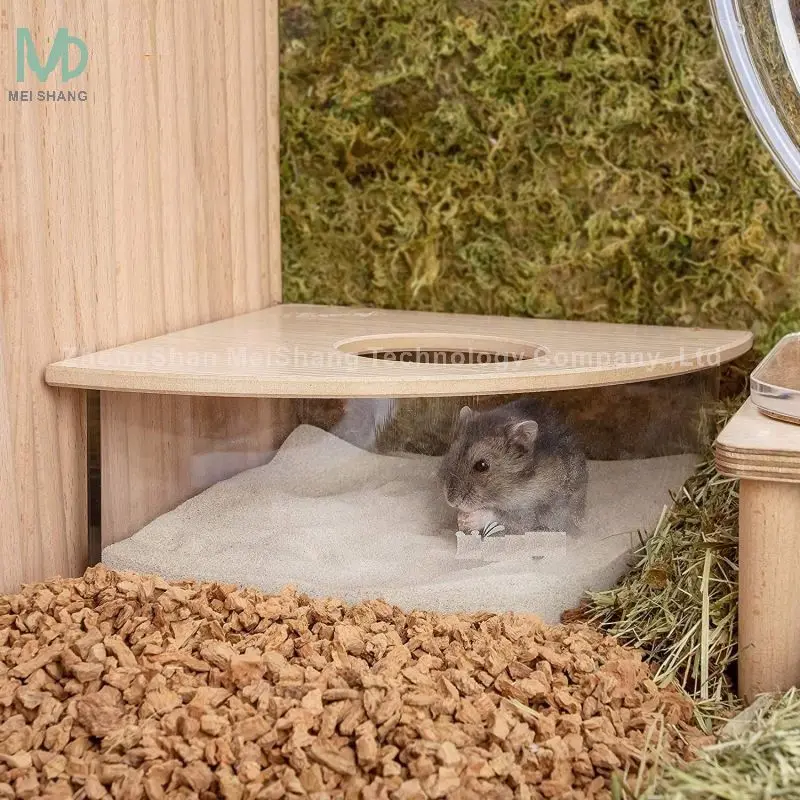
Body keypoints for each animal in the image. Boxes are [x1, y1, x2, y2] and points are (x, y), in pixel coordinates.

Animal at [438, 397, 588, 535]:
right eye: (453, 453)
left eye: (482, 465)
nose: (451, 501)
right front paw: (459, 519)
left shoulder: (530, 511)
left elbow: (501, 516)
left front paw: (467, 519)